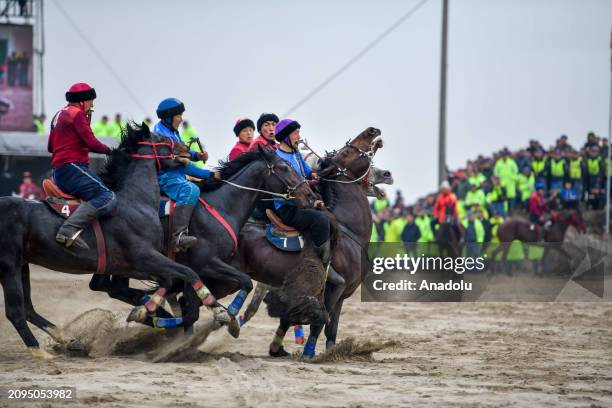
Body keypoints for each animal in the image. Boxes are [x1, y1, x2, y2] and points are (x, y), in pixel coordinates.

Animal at [0, 123, 214, 356]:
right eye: (164, 139)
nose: (187, 149)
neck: (135, 202)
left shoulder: (128, 266)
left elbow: (165, 281)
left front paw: (149, 313)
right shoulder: (144, 258)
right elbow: (186, 272)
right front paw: (212, 307)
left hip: (23, 264)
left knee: (28, 309)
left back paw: (68, 340)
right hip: (9, 266)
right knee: (15, 311)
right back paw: (40, 352)